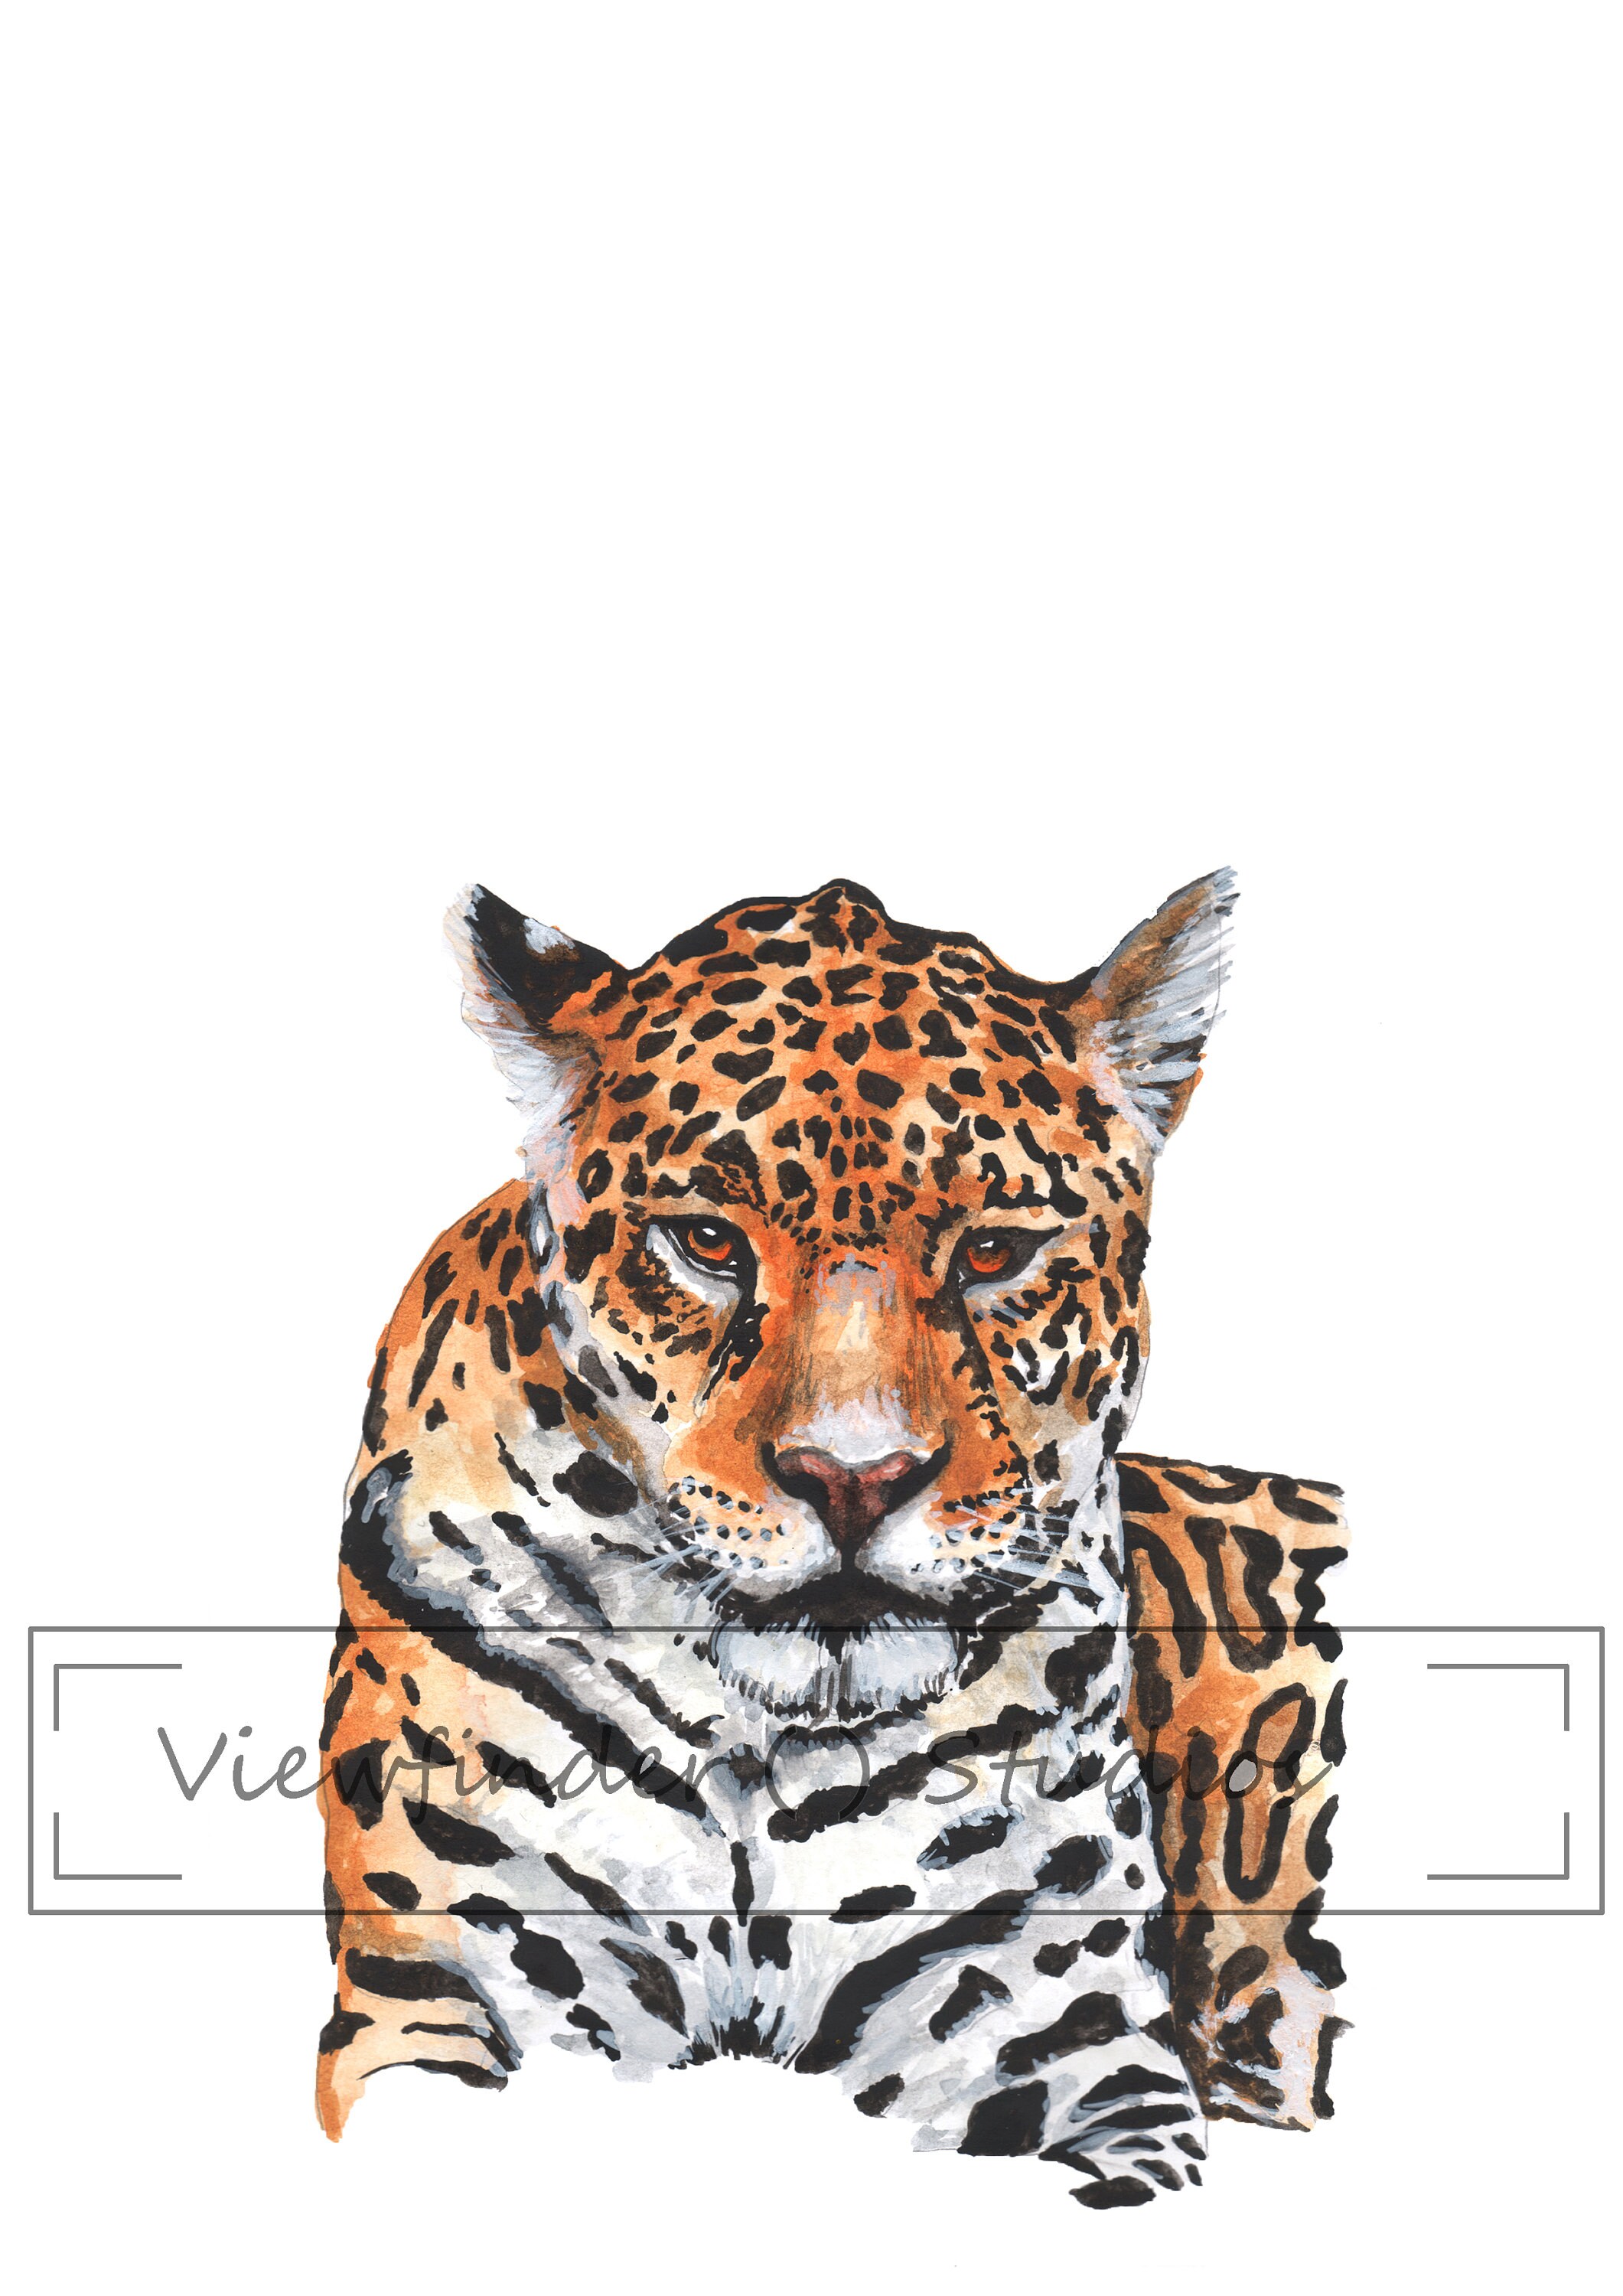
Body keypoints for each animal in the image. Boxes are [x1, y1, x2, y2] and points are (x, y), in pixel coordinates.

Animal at [317, 871, 1347, 2207]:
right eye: (706, 1242)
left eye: (995, 1252)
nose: (854, 1480)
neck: (761, 1741)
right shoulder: (438, 1988)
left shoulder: (1072, 2043)